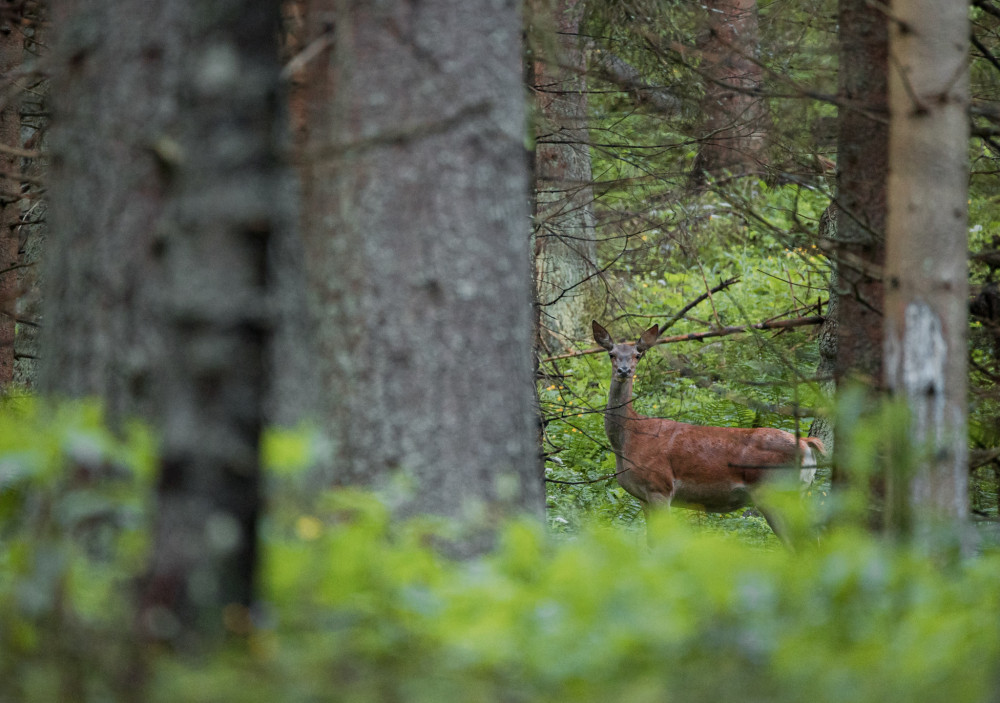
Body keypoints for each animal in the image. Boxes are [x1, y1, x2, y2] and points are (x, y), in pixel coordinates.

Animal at [592, 320, 820, 544]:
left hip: (775, 491)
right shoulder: (643, 497)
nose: (624, 371)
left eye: (637, 355)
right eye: (611, 354)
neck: (629, 439)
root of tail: (806, 445)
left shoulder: (659, 485)